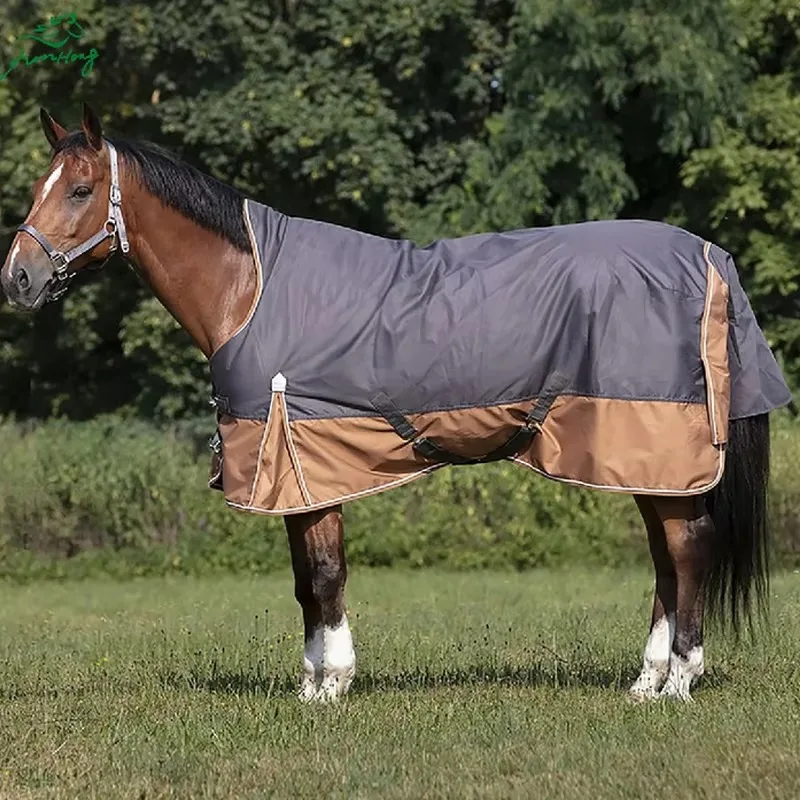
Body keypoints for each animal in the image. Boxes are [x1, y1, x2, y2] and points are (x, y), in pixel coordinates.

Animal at [1, 104, 791, 703]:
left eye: (78, 190)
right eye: (39, 184)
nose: (18, 278)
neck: (249, 289)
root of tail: (706, 256)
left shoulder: (305, 465)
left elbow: (323, 575)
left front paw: (331, 687)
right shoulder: (303, 476)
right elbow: (306, 581)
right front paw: (312, 684)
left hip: (657, 449)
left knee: (686, 550)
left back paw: (678, 681)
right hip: (641, 461)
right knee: (666, 558)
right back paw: (644, 679)